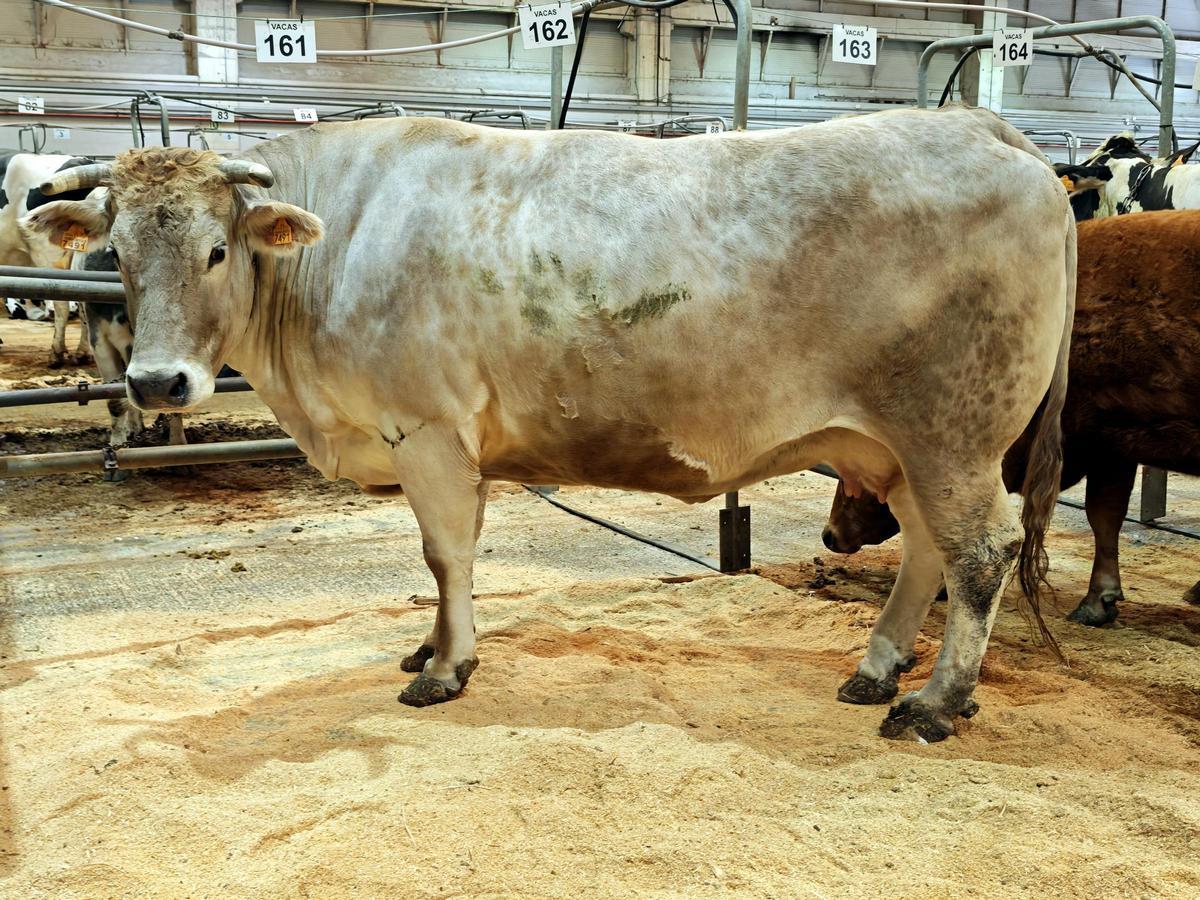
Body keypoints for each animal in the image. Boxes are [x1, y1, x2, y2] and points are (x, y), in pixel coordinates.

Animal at [20, 105, 1074, 743]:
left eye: (215, 249)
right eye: (116, 253)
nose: (157, 382)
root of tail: (986, 127)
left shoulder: (428, 430)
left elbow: (445, 553)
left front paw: (446, 670)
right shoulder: (454, 444)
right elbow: (448, 560)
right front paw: (432, 647)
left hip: (955, 431)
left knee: (979, 553)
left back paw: (936, 702)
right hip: (898, 443)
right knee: (929, 550)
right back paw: (879, 668)